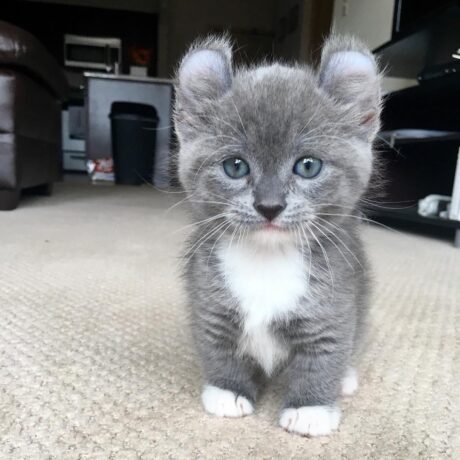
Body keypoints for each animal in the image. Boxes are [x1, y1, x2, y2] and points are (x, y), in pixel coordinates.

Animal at [173, 34, 381, 437]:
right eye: (235, 166)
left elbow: (326, 354)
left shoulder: (333, 306)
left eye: (308, 166)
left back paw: (346, 378)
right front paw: (227, 391)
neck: (266, 258)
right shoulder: (209, 299)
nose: (269, 206)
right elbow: (217, 346)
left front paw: (311, 409)